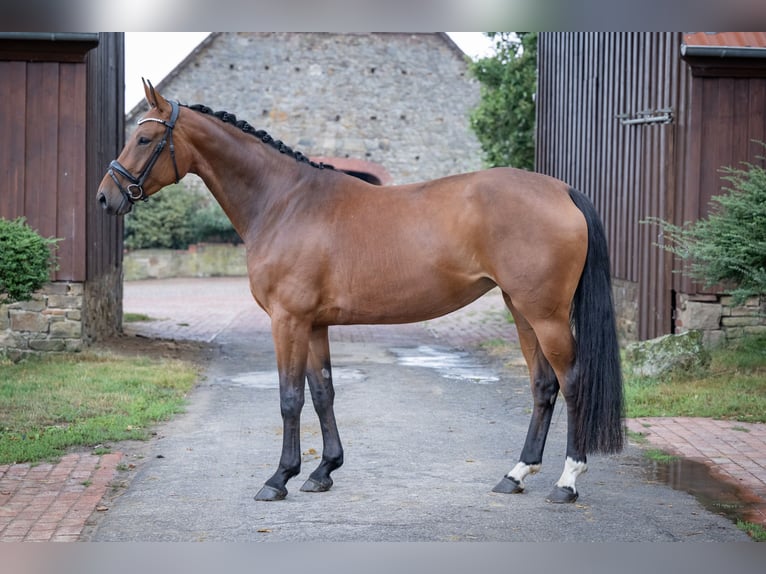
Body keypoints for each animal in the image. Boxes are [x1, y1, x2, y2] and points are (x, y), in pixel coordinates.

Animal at [98, 80, 624, 504]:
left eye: (144, 138)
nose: (106, 196)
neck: (284, 203)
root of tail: (562, 190)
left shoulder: (287, 321)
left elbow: (289, 397)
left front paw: (278, 479)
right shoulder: (313, 324)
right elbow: (323, 392)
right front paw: (322, 471)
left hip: (546, 313)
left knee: (572, 381)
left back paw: (567, 482)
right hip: (522, 309)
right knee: (543, 385)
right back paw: (515, 474)